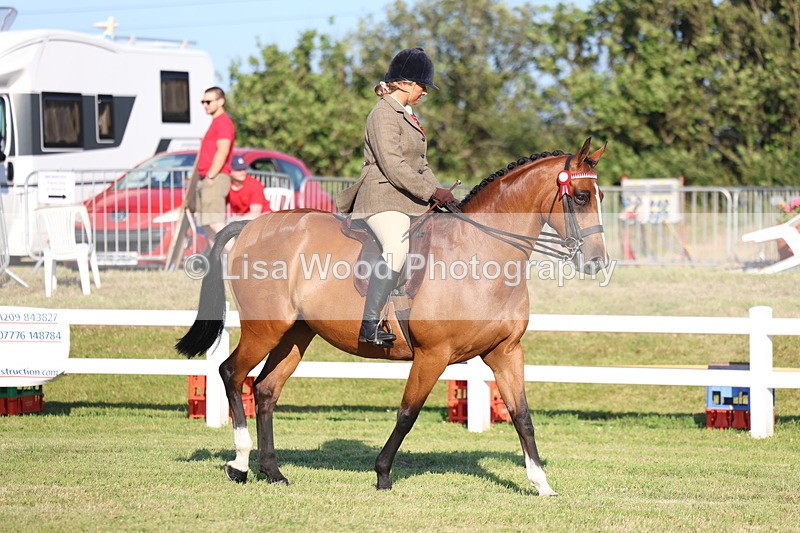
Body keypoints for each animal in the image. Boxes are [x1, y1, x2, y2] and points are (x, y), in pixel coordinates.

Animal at [176, 137, 607, 496]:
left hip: (295, 335)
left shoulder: (506, 352)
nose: (597, 262)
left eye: (599, 194)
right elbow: (407, 414)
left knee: (265, 390)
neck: (481, 252)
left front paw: (541, 484)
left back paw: (273, 471)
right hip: (264, 328)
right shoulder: (433, 355)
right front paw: (383, 473)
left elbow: (522, 416)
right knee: (232, 374)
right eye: (581, 196)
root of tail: (252, 225)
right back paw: (239, 463)